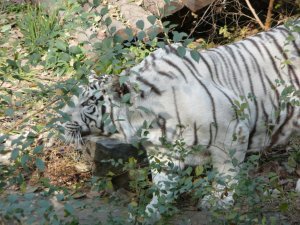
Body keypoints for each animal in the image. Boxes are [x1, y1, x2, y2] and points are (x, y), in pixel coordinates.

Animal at [63, 20, 300, 222]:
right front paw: (150, 212)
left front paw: (219, 201)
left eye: (88, 102)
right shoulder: (162, 152)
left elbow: (226, 172)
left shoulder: (231, 130)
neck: (145, 122)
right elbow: (162, 184)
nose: (61, 119)